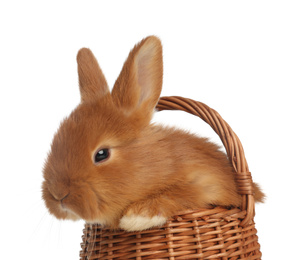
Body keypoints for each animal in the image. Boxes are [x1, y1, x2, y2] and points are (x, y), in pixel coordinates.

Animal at [41, 35, 264, 232]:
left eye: (102, 154)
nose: (58, 194)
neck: (153, 164)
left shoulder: (205, 183)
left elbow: (179, 194)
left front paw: (136, 218)